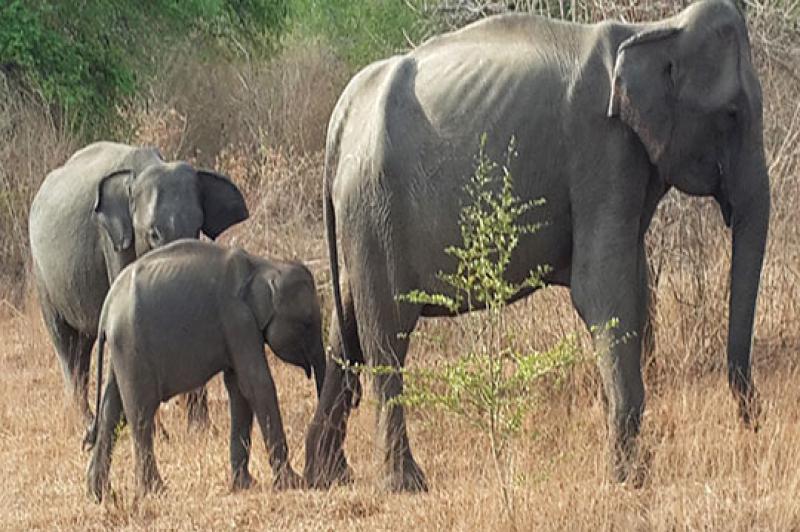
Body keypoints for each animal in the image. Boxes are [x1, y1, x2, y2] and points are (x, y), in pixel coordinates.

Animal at [28, 140, 247, 424]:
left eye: (198, 226)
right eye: (153, 234)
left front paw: (199, 426)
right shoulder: (112, 241)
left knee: (83, 346)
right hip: (43, 277)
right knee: (65, 343)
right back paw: (85, 421)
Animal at [84, 239, 324, 500]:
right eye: (307, 323)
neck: (265, 265)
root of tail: (107, 307)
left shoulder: (238, 328)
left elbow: (239, 390)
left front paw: (245, 485)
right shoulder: (238, 319)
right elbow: (256, 384)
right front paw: (293, 483)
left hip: (121, 349)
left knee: (112, 410)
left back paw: (101, 494)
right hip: (131, 344)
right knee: (140, 412)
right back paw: (156, 491)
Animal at [304, 0, 768, 490]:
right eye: (732, 114)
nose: (751, 421)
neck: (654, 31)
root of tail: (341, 118)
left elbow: (634, 287)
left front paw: (632, 467)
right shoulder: (601, 150)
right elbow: (602, 288)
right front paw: (629, 480)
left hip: (362, 219)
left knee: (346, 328)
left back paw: (325, 477)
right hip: (375, 209)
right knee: (386, 333)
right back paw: (406, 485)